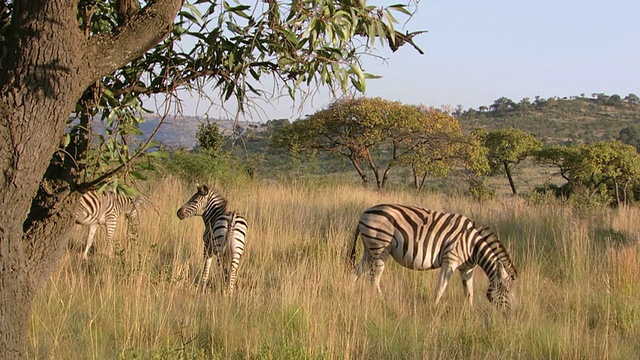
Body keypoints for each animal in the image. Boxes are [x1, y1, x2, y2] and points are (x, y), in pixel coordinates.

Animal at [348, 204, 516, 310]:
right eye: (505, 289)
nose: (508, 313)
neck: (473, 246)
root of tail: (365, 213)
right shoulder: (450, 260)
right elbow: (441, 287)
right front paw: (434, 308)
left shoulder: (467, 268)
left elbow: (469, 293)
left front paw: (469, 313)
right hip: (380, 248)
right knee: (374, 278)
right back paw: (382, 301)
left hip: (369, 249)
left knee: (356, 271)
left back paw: (348, 293)